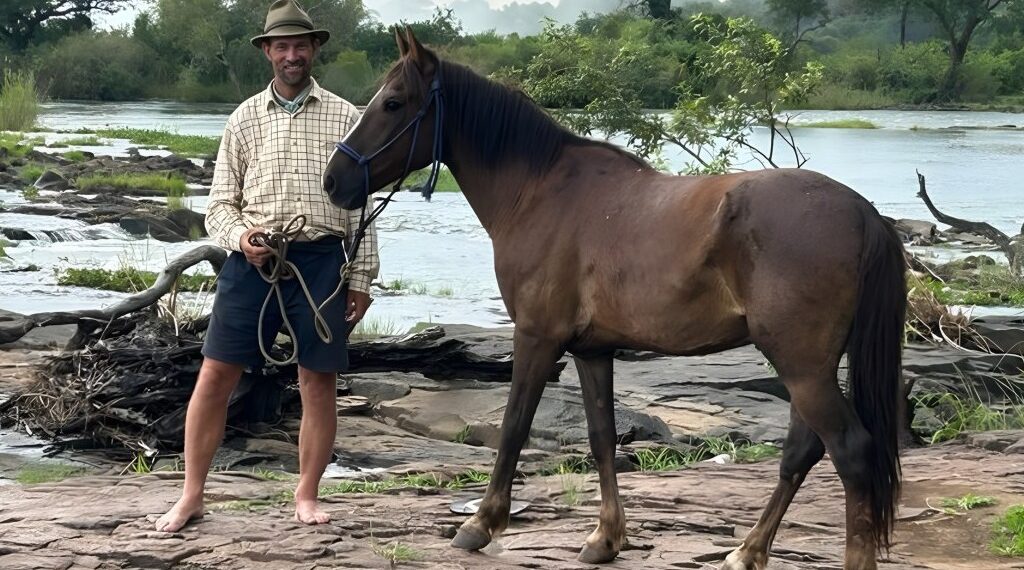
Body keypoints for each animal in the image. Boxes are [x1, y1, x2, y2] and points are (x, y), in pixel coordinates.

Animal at [323, 28, 907, 570]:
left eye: (394, 102)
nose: (334, 180)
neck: (540, 191)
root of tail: (863, 212)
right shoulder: (592, 350)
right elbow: (602, 437)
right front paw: (605, 538)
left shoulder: (536, 336)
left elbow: (514, 428)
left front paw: (481, 525)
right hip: (811, 365)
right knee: (802, 451)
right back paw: (746, 551)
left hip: (801, 365)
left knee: (850, 452)